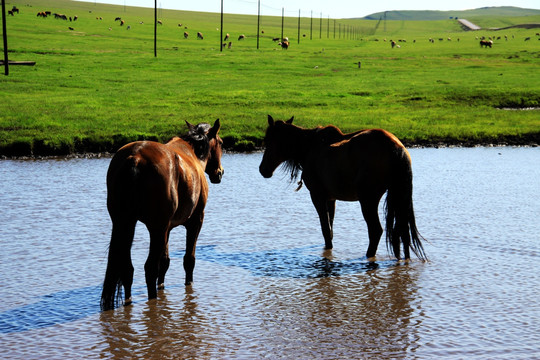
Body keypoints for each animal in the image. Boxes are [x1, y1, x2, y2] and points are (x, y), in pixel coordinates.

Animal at [101, 119, 224, 310]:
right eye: (221, 143)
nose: (219, 172)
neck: (194, 153)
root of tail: (134, 158)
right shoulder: (195, 221)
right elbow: (188, 260)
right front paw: (188, 284)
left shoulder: (168, 227)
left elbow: (165, 262)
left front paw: (162, 286)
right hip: (156, 227)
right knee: (149, 268)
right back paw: (152, 299)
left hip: (125, 223)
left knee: (127, 269)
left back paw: (129, 300)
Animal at [258, 116, 426, 260]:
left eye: (268, 140)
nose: (263, 169)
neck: (308, 149)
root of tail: (396, 149)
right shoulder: (331, 198)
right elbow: (330, 228)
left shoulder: (317, 195)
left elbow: (325, 228)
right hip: (399, 194)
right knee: (403, 229)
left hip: (368, 198)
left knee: (376, 230)